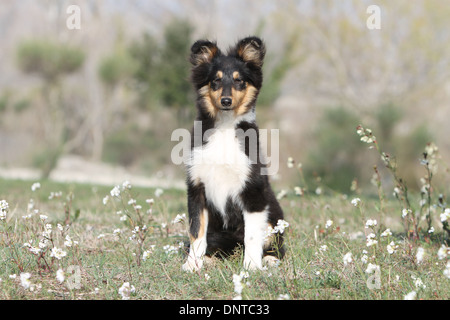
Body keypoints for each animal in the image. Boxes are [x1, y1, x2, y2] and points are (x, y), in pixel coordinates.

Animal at [182, 36, 284, 272]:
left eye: (239, 81)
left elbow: (252, 236)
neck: (225, 126)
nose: (226, 101)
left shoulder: (253, 190)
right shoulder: (197, 187)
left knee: (275, 245)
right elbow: (196, 232)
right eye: (215, 81)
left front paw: (252, 267)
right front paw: (192, 265)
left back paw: (269, 260)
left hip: (274, 219)